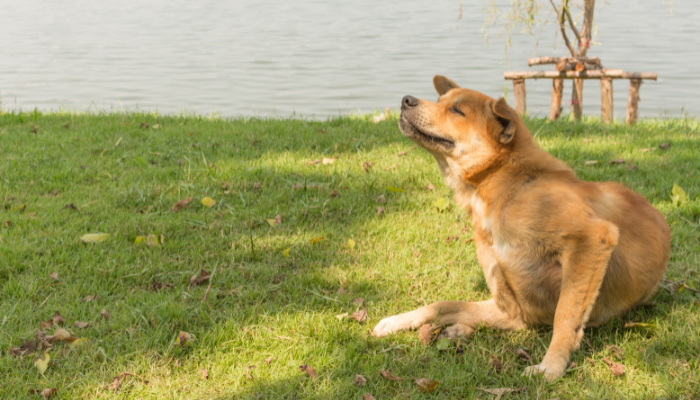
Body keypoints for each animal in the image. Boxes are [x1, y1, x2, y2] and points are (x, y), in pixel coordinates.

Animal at [372, 76, 672, 382]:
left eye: (457, 110)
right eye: (441, 102)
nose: (406, 100)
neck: (505, 187)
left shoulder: (594, 237)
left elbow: (566, 314)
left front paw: (551, 366)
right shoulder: (513, 310)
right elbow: (443, 304)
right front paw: (399, 320)